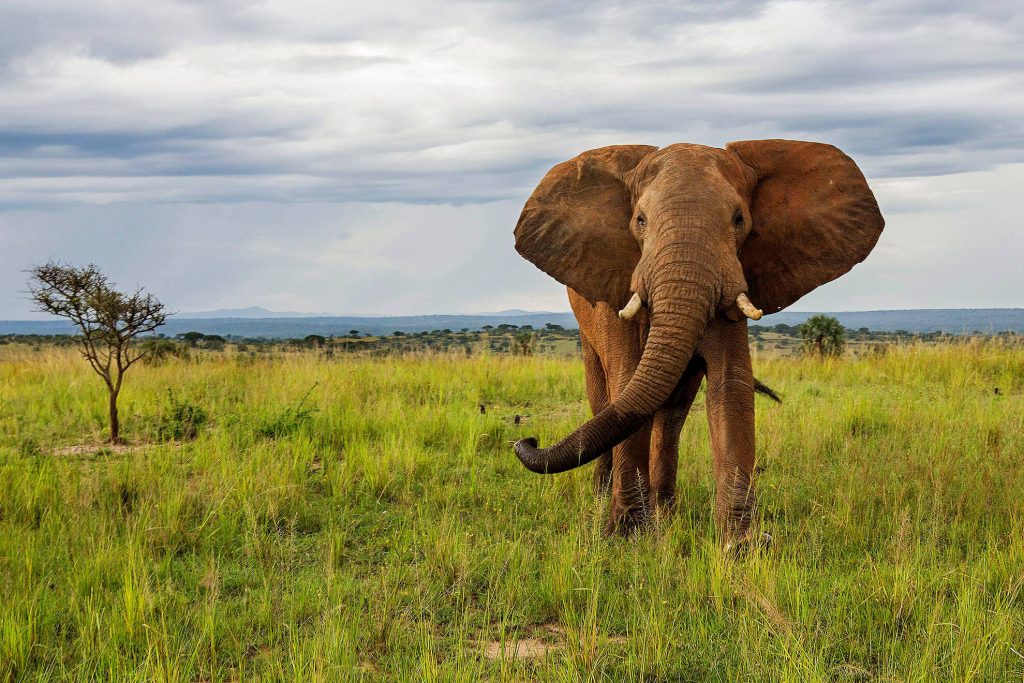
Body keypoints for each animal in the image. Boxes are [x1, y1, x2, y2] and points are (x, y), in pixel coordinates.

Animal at [511, 140, 884, 545]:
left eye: (739, 219)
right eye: (640, 220)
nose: (527, 440)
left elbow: (730, 385)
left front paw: (741, 545)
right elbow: (626, 381)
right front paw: (624, 538)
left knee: (671, 413)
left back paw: (664, 515)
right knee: (604, 397)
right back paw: (607, 499)